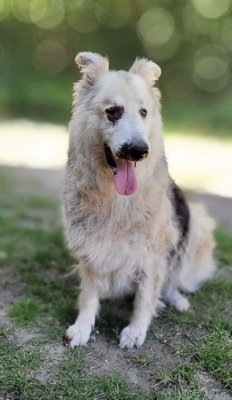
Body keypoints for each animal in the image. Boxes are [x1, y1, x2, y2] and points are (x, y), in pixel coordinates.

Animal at [62, 52, 216, 346]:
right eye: (113, 111)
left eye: (143, 113)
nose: (139, 151)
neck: (116, 198)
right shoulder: (91, 246)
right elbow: (89, 295)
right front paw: (83, 327)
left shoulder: (152, 253)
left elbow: (145, 297)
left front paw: (135, 330)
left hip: (197, 226)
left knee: (175, 279)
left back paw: (178, 299)